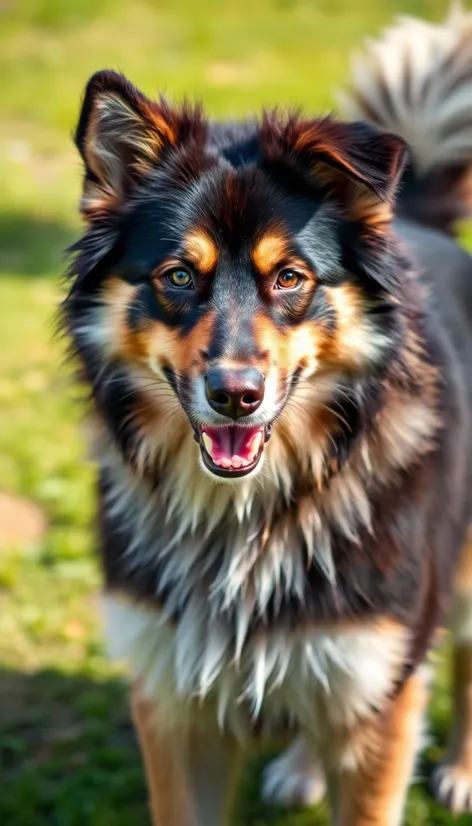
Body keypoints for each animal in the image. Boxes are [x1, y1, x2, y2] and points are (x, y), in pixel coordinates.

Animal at [63, 8, 472, 824]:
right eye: (177, 277)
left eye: (289, 278)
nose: (235, 395)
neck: (254, 508)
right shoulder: (173, 701)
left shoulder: (380, 691)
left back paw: (461, 770)